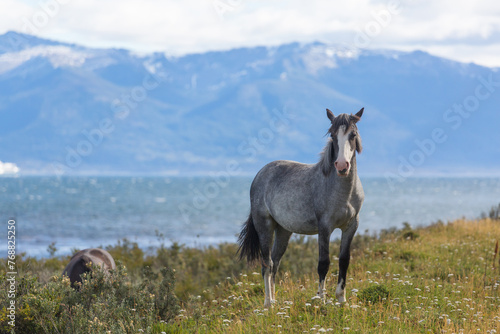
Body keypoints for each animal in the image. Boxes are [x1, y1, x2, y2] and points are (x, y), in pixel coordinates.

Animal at [237, 107, 364, 308]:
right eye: (332, 134)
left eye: (353, 134)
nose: (342, 165)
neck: (342, 192)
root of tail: (260, 174)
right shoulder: (325, 227)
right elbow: (323, 263)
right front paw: (321, 300)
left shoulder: (351, 226)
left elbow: (344, 261)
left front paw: (341, 300)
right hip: (264, 227)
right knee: (266, 264)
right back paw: (268, 304)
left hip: (283, 231)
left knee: (275, 263)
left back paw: (275, 302)